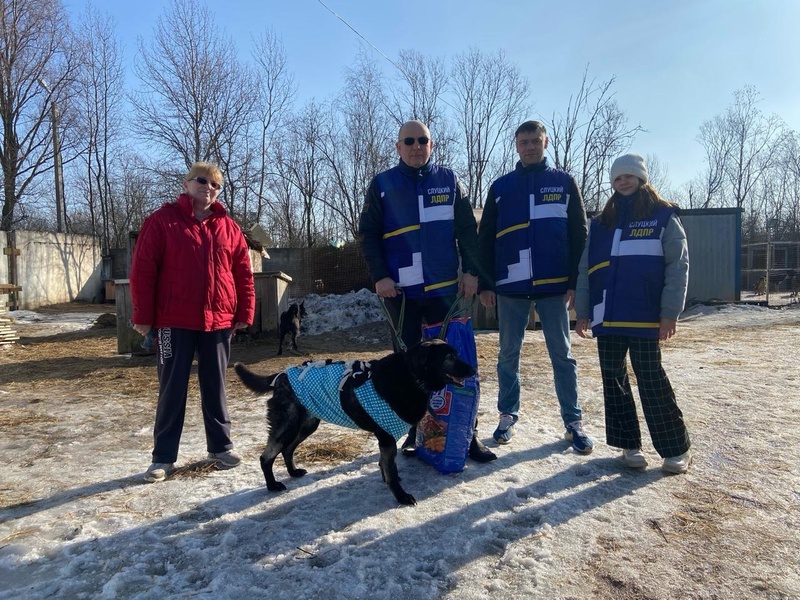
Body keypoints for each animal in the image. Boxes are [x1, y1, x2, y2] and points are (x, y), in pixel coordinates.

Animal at [234, 340, 478, 504]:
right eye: (449, 357)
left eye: (456, 354)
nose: (473, 369)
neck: (411, 375)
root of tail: (282, 376)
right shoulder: (386, 438)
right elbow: (390, 471)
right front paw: (400, 496)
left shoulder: (386, 439)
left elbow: (387, 466)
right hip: (289, 425)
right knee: (266, 456)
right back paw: (272, 485)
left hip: (307, 424)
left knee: (288, 450)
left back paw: (293, 472)